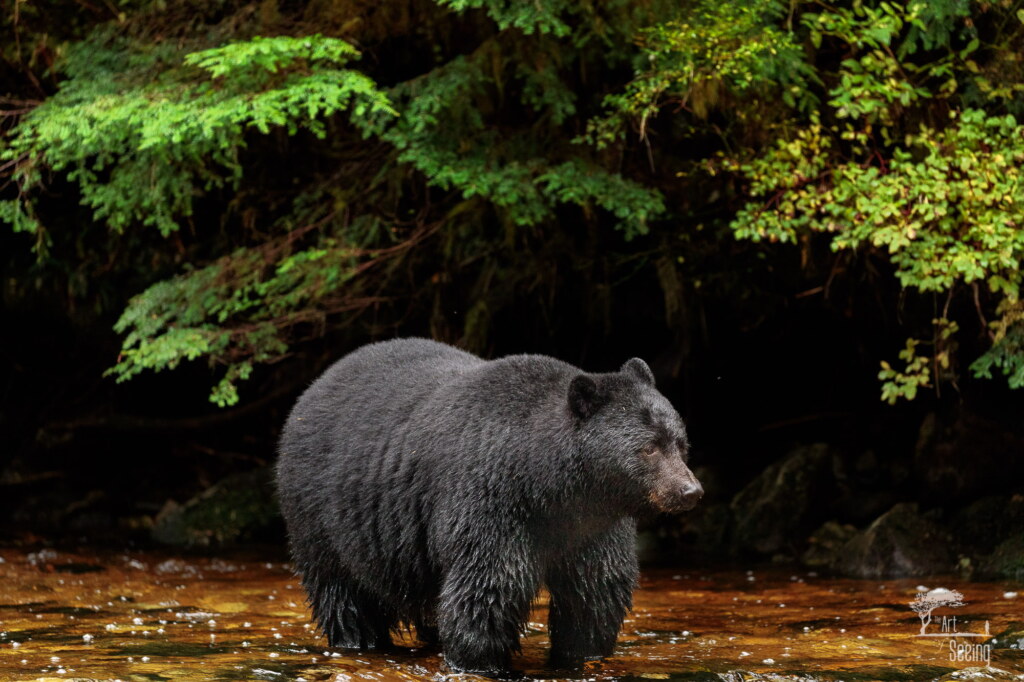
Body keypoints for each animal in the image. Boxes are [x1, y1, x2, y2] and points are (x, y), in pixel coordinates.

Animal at [275, 338, 702, 675]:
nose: (690, 491)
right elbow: (489, 587)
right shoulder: (491, 500)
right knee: (343, 591)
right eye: (648, 447)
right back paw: (358, 640)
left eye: (680, 442)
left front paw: (582, 654)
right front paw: (482, 662)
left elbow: (595, 589)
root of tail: (315, 386)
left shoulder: (592, 524)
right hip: (321, 512)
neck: (551, 485)